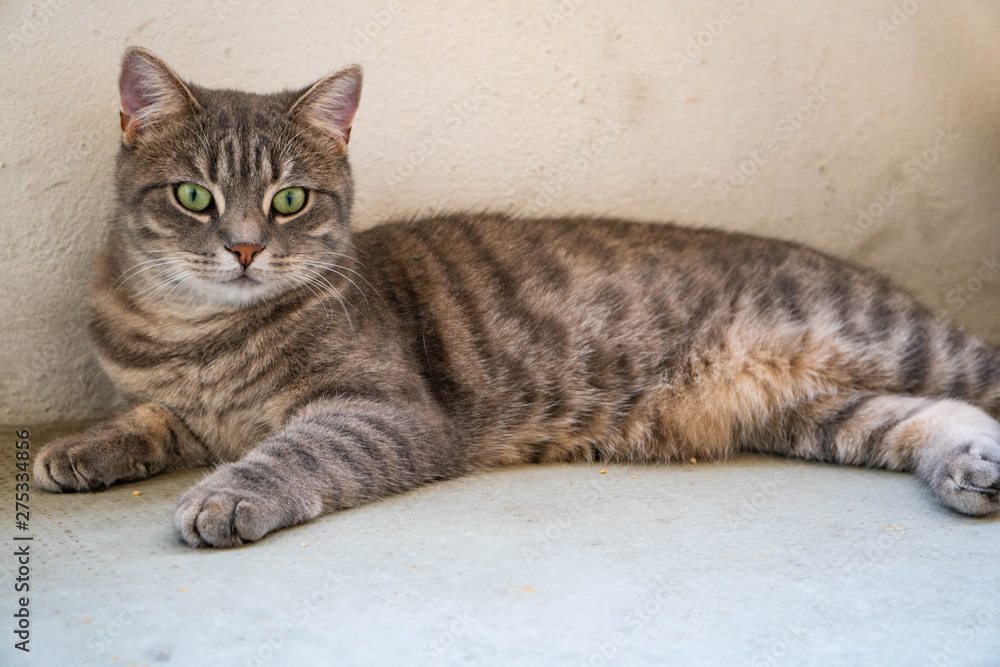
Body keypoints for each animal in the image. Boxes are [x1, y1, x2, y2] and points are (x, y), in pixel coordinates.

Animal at [33, 45, 1000, 548]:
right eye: (193, 195)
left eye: (290, 199)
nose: (243, 247)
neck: (192, 333)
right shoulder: (179, 405)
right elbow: (147, 418)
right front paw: (79, 448)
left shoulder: (381, 408)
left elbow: (292, 452)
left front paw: (227, 494)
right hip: (821, 408)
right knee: (935, 417)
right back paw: (971, 467)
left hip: (907, 343)